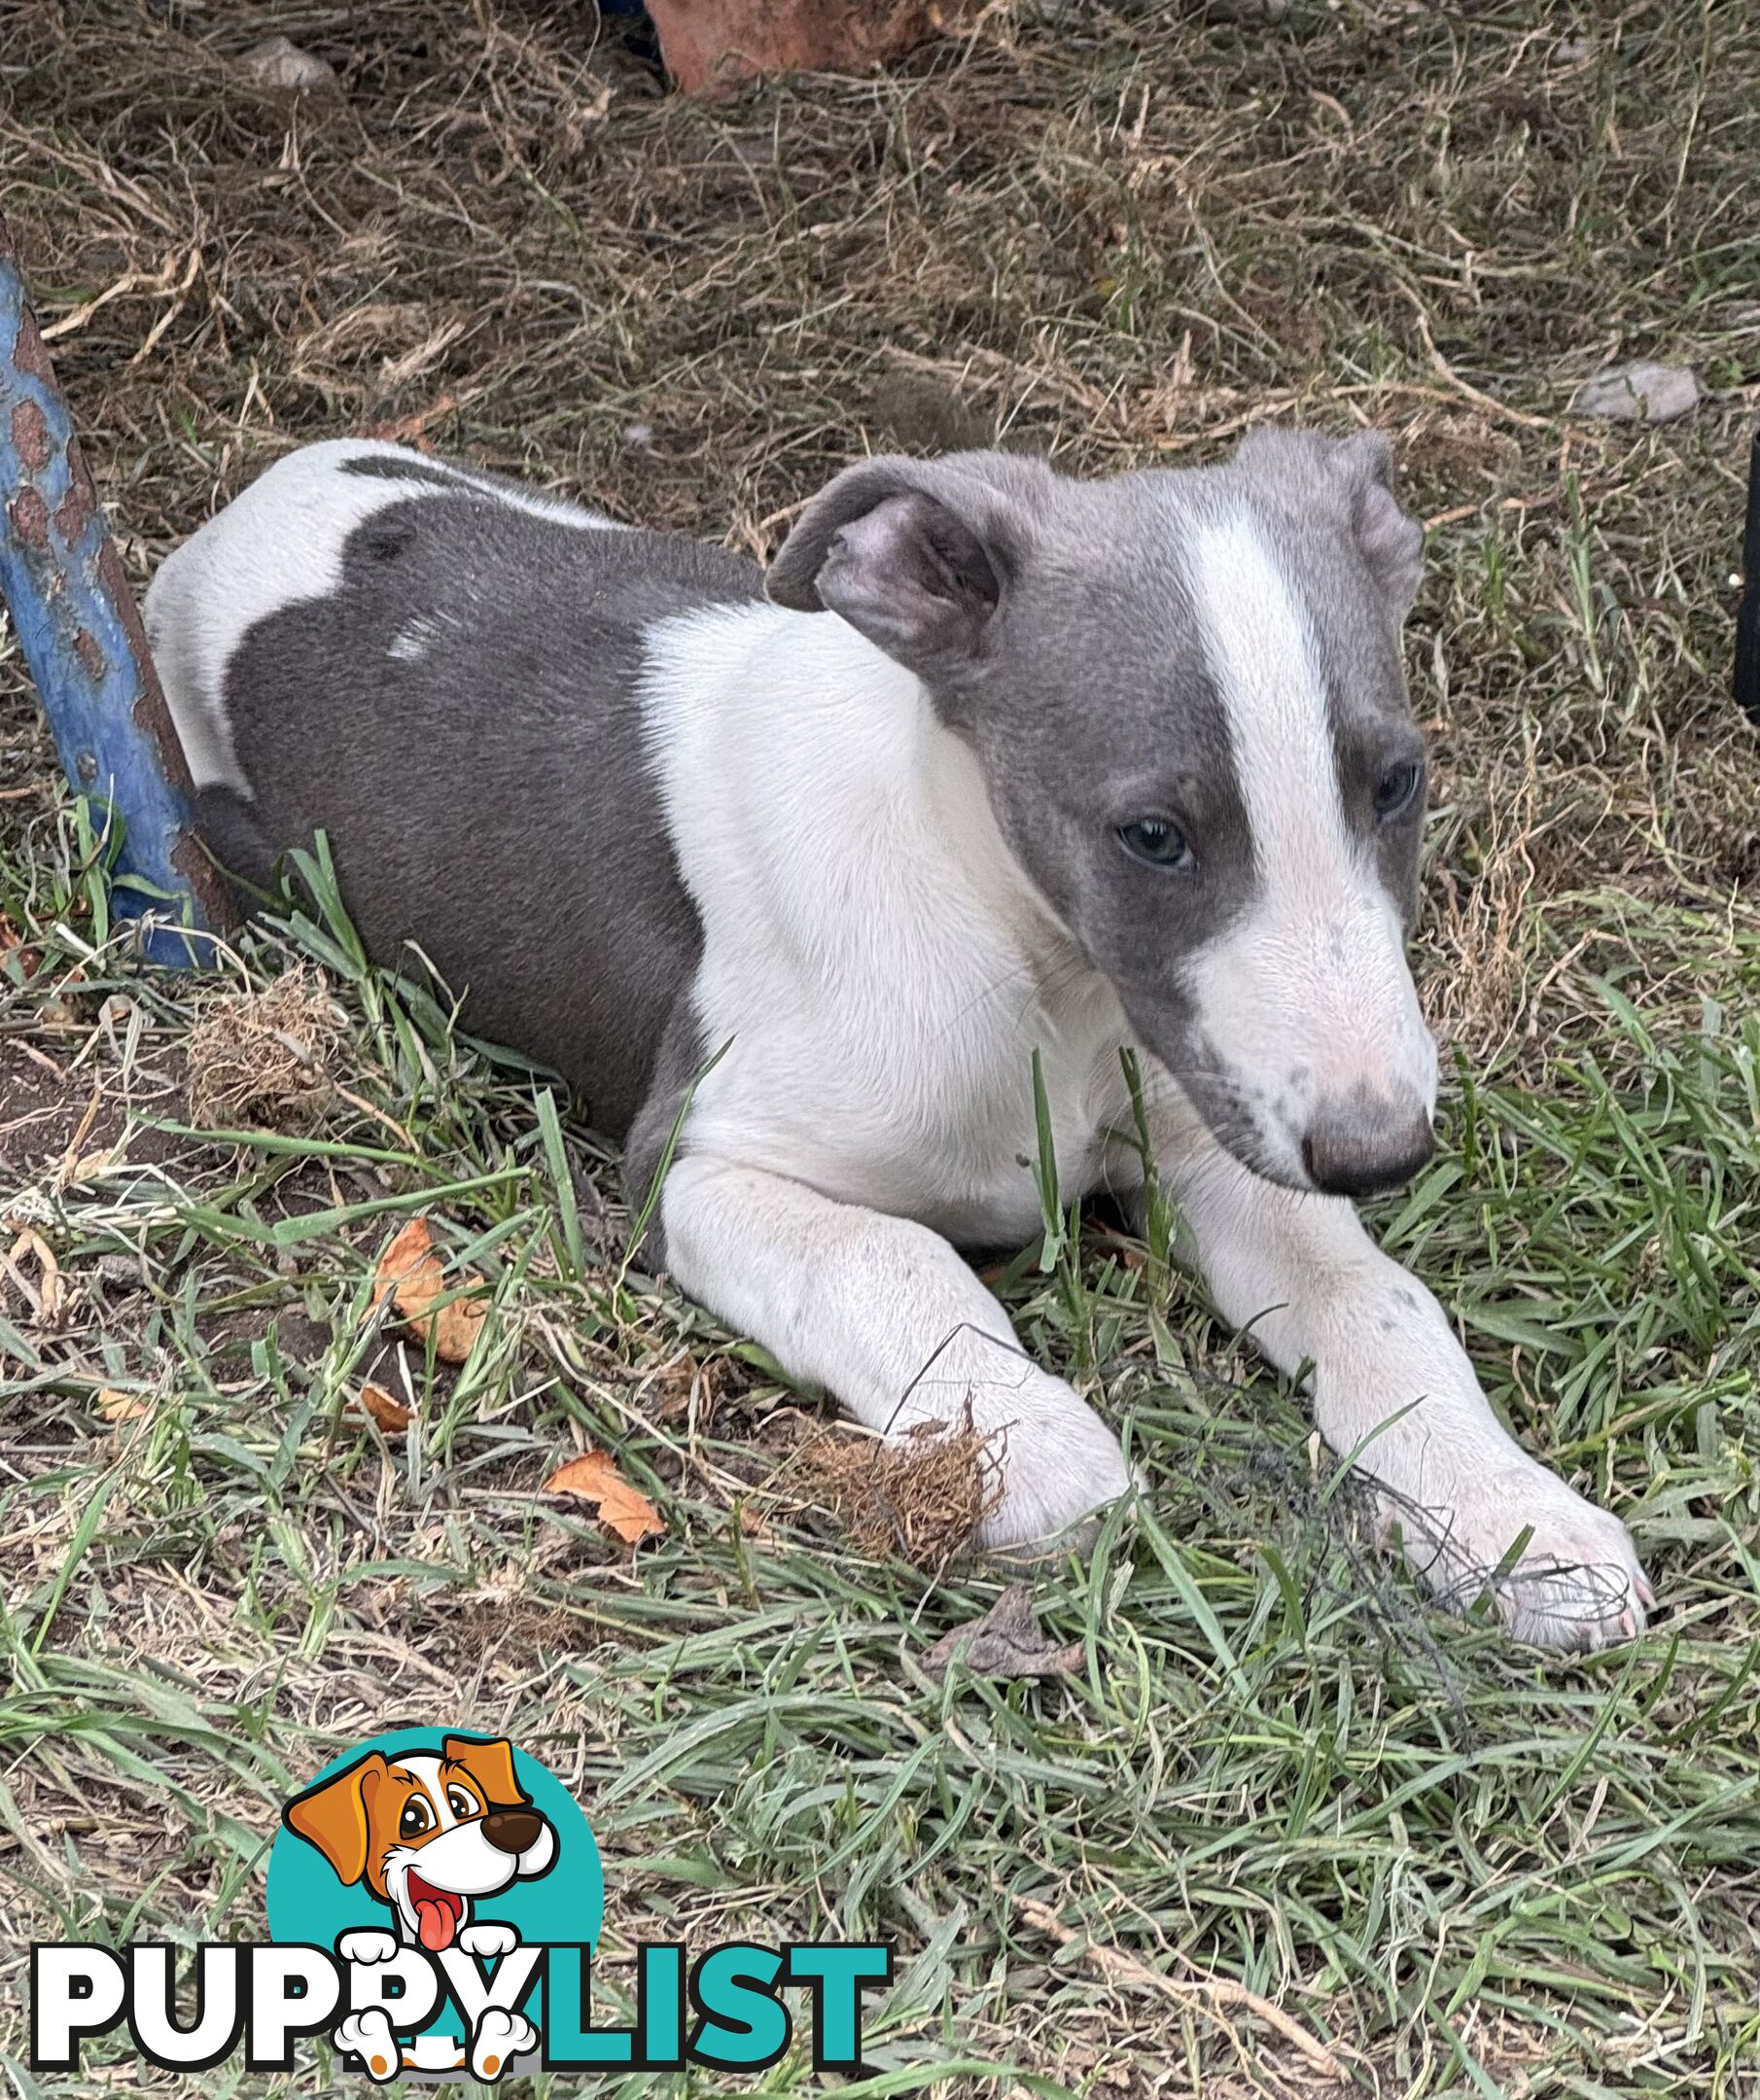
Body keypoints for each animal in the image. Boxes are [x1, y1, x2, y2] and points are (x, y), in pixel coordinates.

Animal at [148, 430, 1655, 1637]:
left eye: (1395, 783)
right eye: (1150, 836)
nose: (1380, 1152)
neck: (1032, 974)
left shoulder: (1217, 1127)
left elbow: (1377, 1306)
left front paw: (1508, 1514)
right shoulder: (700, 1161)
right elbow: (896, 1262)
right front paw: (1035, 1452)